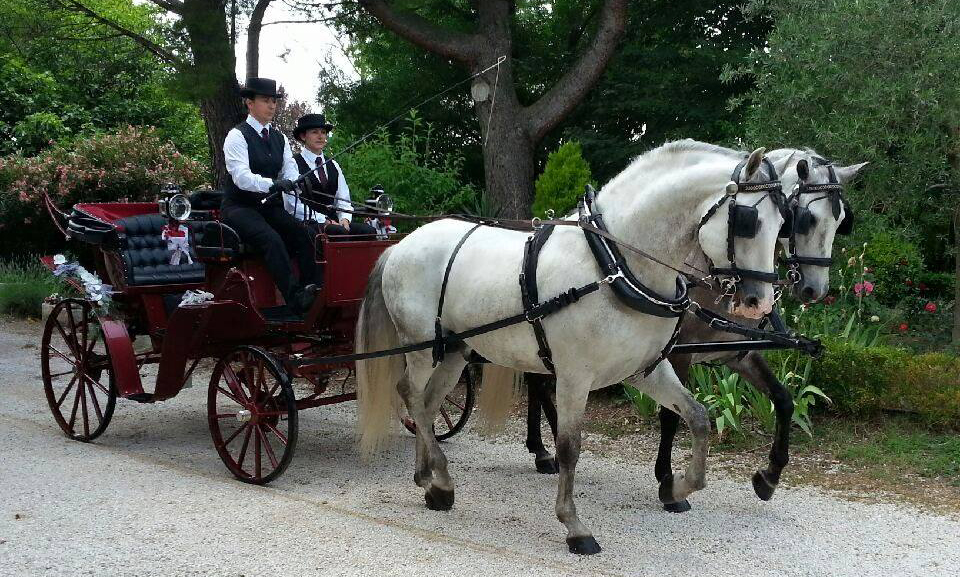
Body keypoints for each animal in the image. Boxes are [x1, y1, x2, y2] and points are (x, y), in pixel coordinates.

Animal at [356, 140, 792, 552]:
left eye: (783, 222)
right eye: (749, 221)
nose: (760, 303)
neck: (614, 264)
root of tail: (401, 245)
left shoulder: (647, 370)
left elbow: (698, 418)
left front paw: (677, 487)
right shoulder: (573, 377)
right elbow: (569, 448)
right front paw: (574, 526)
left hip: (454, 352)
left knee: (428, 404)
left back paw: (432, 480)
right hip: (421, 347)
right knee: (411, 395)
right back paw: (438, 480)